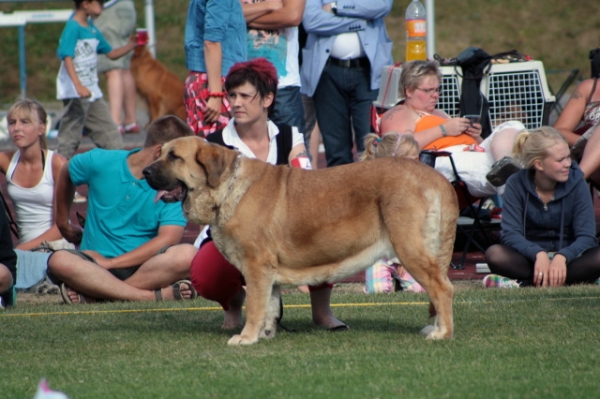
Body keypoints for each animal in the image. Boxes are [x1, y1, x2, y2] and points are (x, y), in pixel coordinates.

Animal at [144, 136, 460, 346]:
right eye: (159, 153)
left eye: (174, 157)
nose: (145, 171)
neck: (226, 187)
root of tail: (437, 179)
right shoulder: (266, 271)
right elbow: (269, 304)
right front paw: (266, 334)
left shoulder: (256, 266)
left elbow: (255, 306)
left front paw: (246, 338)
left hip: (410, 249)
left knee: (442, 288)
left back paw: (442, 333)